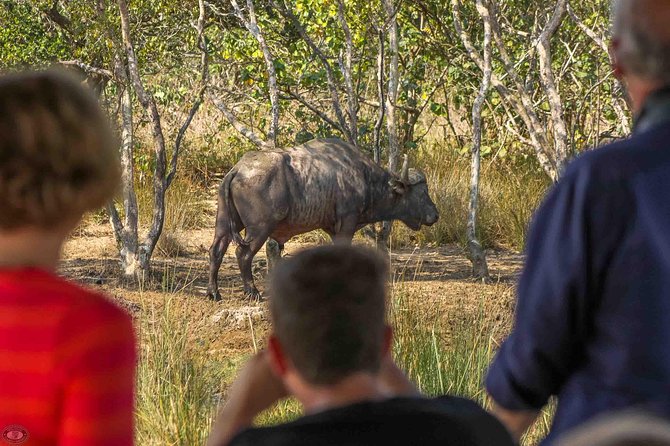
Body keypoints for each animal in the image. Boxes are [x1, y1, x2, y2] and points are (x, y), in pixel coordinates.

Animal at [207, 138, 444, 302]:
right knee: (243, 254)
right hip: (260, 228)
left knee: (216, 251)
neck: (364, 176)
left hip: (225, 224)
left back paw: (213, 293)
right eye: (422, 193)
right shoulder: (348, 222)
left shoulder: (333, 229)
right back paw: (252, 291)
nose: (435, 214)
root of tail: (237, 169)